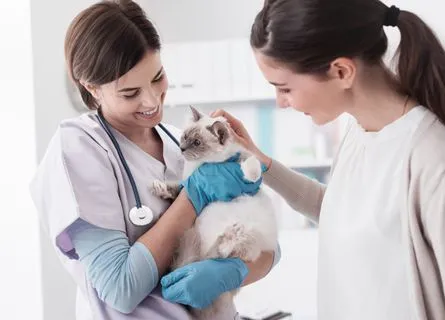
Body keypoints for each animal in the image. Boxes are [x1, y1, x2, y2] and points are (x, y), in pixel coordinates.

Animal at [153, 107, 278, 320]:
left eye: (197, 142)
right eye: (184, 137)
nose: (182, 148)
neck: (205, 165)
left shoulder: (242, 157)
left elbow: (250, 162)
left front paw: (251, 176)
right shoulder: (189, 187)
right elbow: (178, 188)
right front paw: (160, 188)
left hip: (251, 236)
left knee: (232, 251)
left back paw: (226, 241)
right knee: (220, 254)